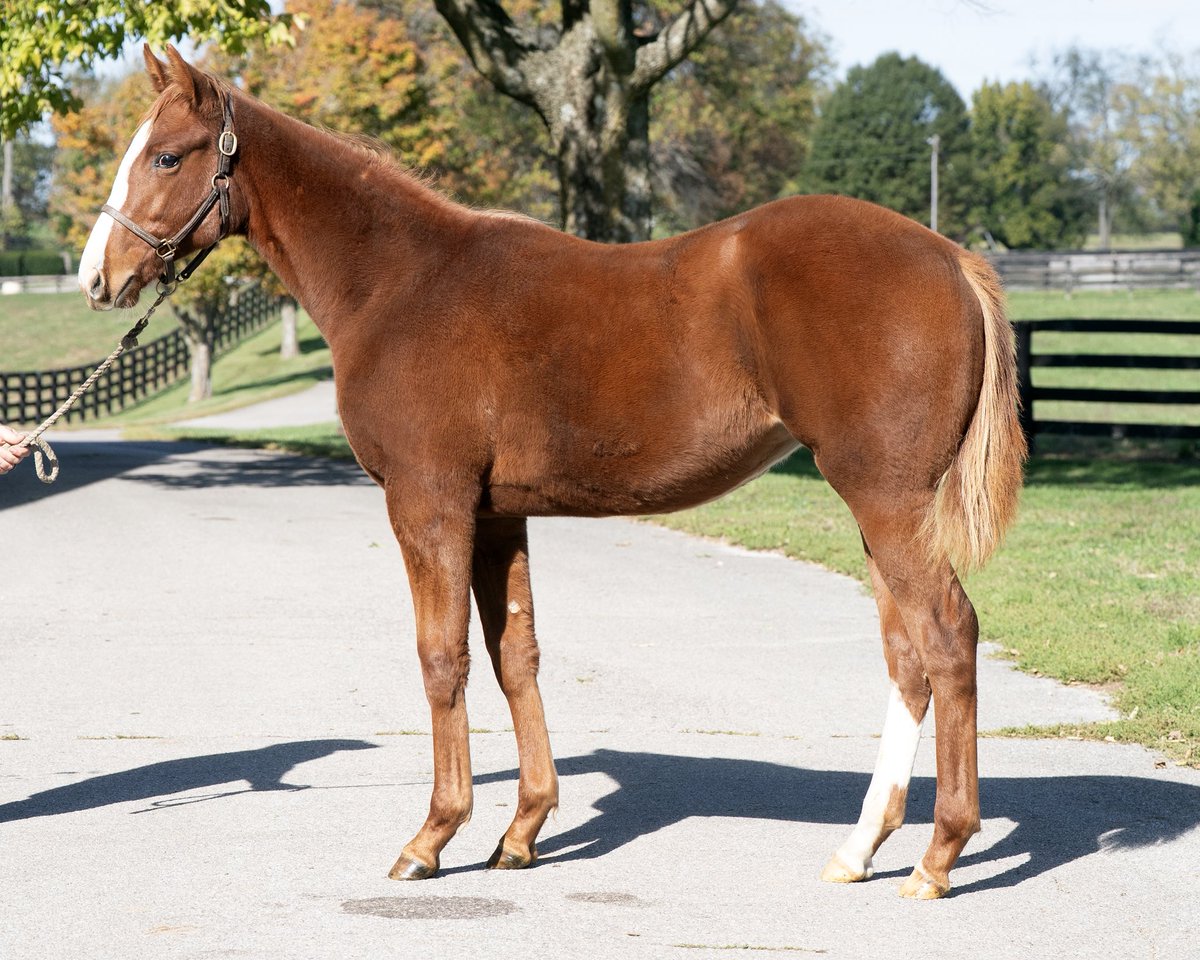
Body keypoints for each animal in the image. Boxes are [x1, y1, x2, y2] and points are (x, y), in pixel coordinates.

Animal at [77, 46, 1026, 900]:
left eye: (167, 156)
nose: (97, 277)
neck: (400, 282)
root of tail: (950, 256)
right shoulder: (497, 514)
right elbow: (515, 654)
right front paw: (523, 829)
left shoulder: (429, 504)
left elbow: (442, 658)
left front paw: (432, 837)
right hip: (877, 510)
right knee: (907, 658)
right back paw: (860, 850)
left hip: (887, 501)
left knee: (947, 637)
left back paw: (939, 855)